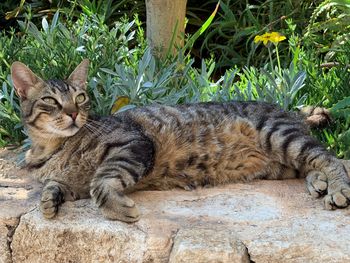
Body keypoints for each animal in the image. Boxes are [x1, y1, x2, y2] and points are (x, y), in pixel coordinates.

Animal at [10, 59, 350, 223]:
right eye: (51, 101)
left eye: (80, 98)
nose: (73, 113)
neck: (51, 149)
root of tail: (288, 109)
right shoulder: (72, 182)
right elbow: (57, 186)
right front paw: (48, 201)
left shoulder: (133, 144)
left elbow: (101, 182)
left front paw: (116, 208)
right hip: (280, 163)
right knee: (313, 162)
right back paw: (318, 182)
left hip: (279, 135)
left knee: (330, 158)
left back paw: (336, 189)